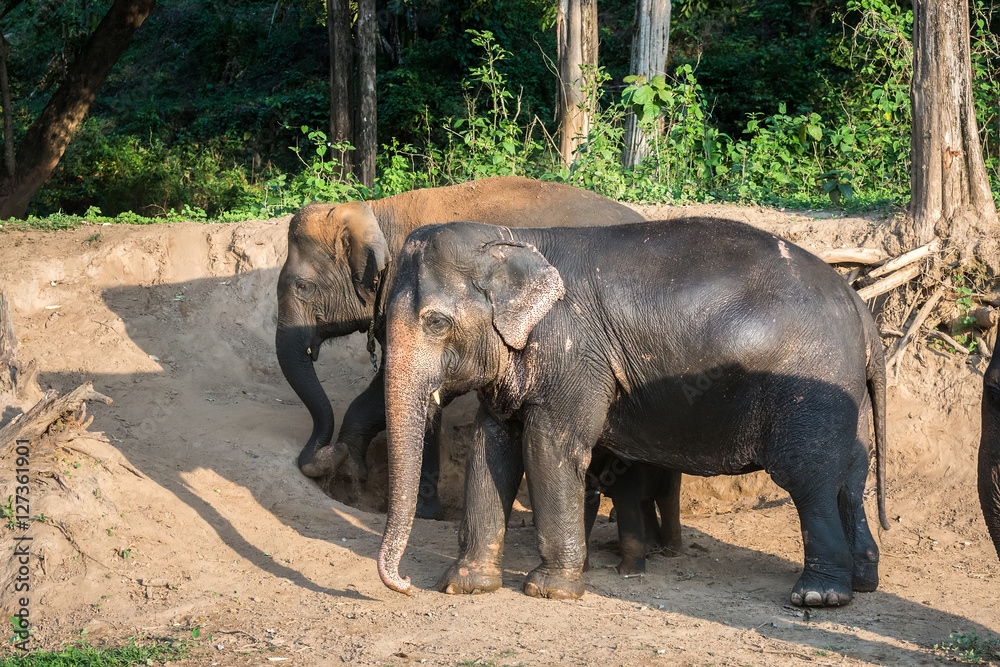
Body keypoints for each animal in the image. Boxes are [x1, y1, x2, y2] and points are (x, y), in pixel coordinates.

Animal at [275, 176, 646, 519]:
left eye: (303, 287)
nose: (324, 453)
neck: (377, 212)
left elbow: (399, 392)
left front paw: (422, 512)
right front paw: (353, 472)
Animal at [375, 217, 889, 607]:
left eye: (436, 322)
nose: (405, 585)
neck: (514, 238)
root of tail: (860, 306)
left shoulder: (575, 355)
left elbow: (549, 446)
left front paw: (551, 591)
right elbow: (492, 445)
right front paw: (464, 585)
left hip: (814, 383)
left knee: (809, 477)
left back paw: (819, 596)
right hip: (847, 392)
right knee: (851, 475)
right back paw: (863, 582)